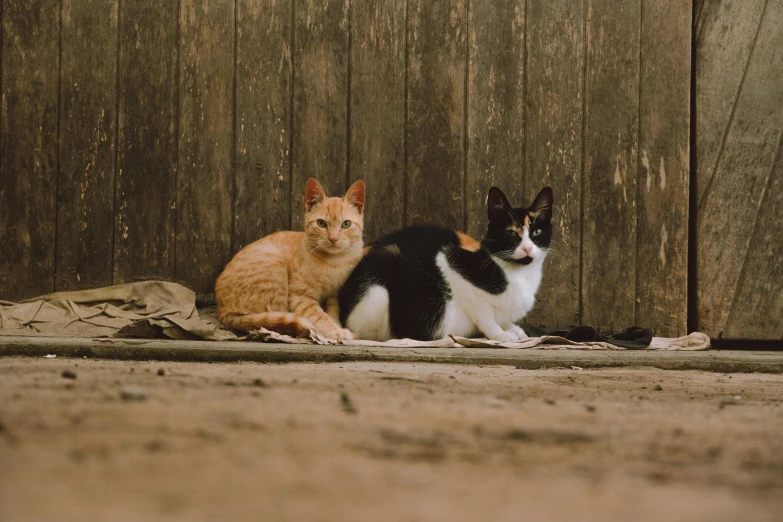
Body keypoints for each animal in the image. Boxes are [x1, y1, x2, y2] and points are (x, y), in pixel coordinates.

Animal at [216, 177, 366, 340]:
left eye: (346, 224)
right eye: (321, 223)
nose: (333, 239)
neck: (335, 261)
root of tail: (223, 313)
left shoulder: (334, 294)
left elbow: (333, 311)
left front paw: (337, 325)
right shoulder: (300, 298)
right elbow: (320, 316)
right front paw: (336, 331)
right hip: (275, 264)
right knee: (275, 319)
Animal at [340, 187, 556, 342]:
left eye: (536, 232)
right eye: (511, 233)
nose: (527, 248)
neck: (519, 273)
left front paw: (512, 328)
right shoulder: (449, 260)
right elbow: (483, 312)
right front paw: (499, 334)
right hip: (387, 261)